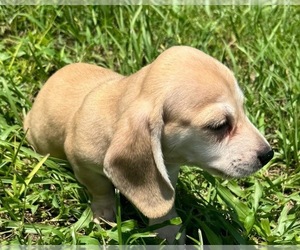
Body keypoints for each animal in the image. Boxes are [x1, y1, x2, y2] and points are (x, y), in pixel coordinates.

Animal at [24, 46, 272, 243]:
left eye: (243, 108)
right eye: (219, 125)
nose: (268, 154)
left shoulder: (167, 169)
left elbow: (165, 198)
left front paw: (169, 231)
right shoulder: (81, 162)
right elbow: (101, 189)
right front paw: (104, 214)